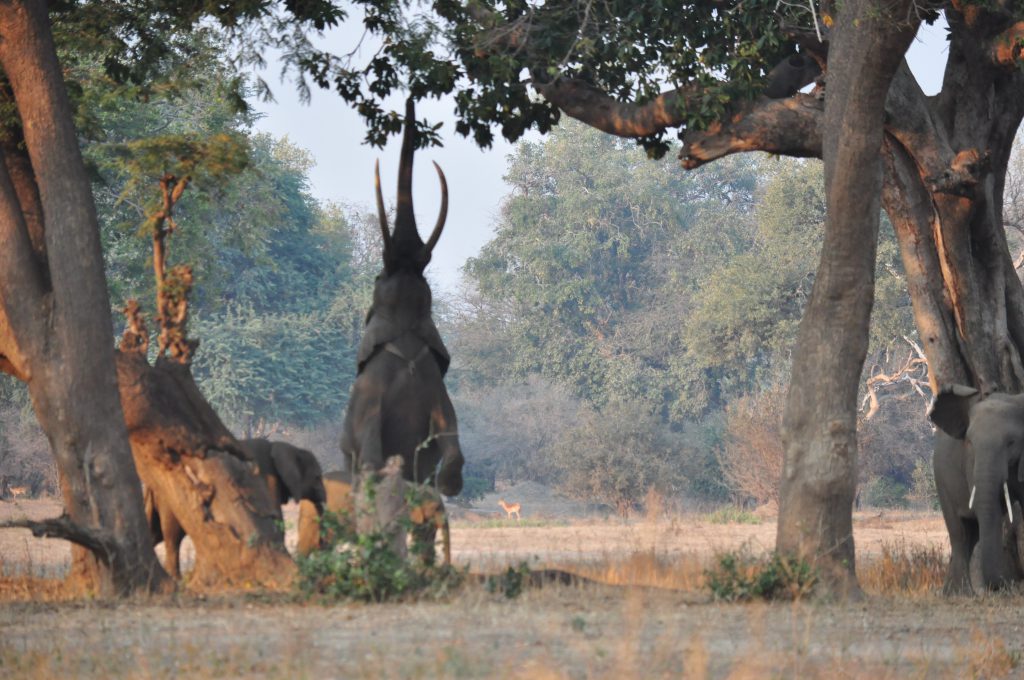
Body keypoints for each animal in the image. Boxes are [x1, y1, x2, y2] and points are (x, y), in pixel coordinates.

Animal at [342, 96, 466, 561]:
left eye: (377, 277)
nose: (411, 97)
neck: (408, 336)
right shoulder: (436, 392)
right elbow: (451, 445)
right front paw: (449, 481)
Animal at [933, 387, 1024, 593]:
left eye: (1011, 442)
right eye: (969, 442)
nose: (1011, 584)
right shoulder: (970, 461)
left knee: (971, 534)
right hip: (941, 478)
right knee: (960, 533)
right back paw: (960, 594)